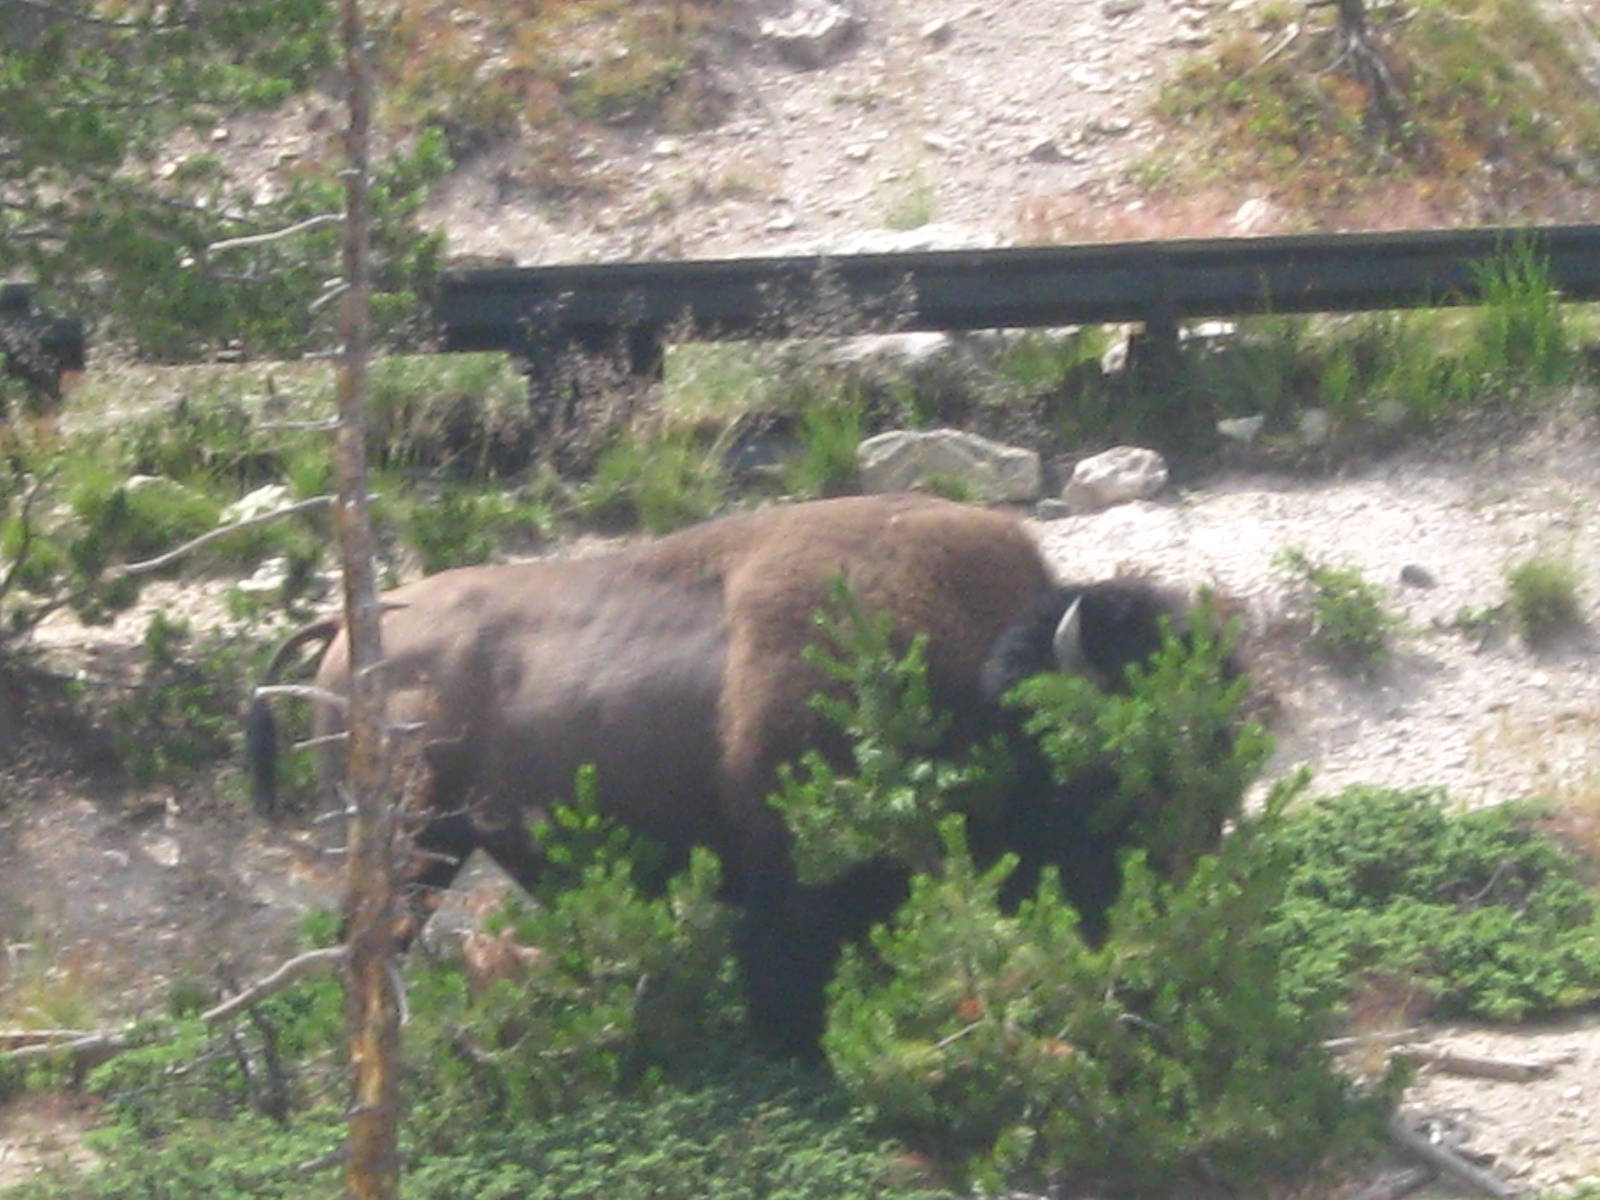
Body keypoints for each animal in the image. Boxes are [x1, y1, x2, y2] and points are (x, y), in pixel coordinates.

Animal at [248, 493, 1230, 1054]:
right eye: (1105, 766)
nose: (1180, 877)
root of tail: (345, 627)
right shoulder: (789, 870)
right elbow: (786, 962)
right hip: (415, 840)